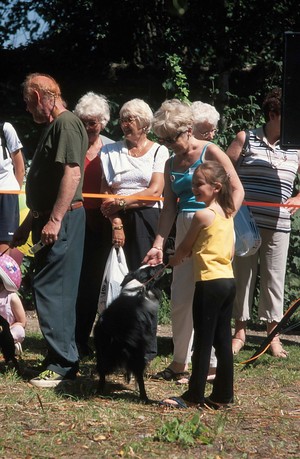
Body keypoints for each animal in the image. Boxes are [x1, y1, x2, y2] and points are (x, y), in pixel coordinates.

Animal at [93, 262, 164, 402]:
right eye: (153, 269)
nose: (163, 262)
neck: (137, 288)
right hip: (136, 351)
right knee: (139, 374)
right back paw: (144, 398)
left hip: (101, 349)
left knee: (102, 370)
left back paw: (99, 391)